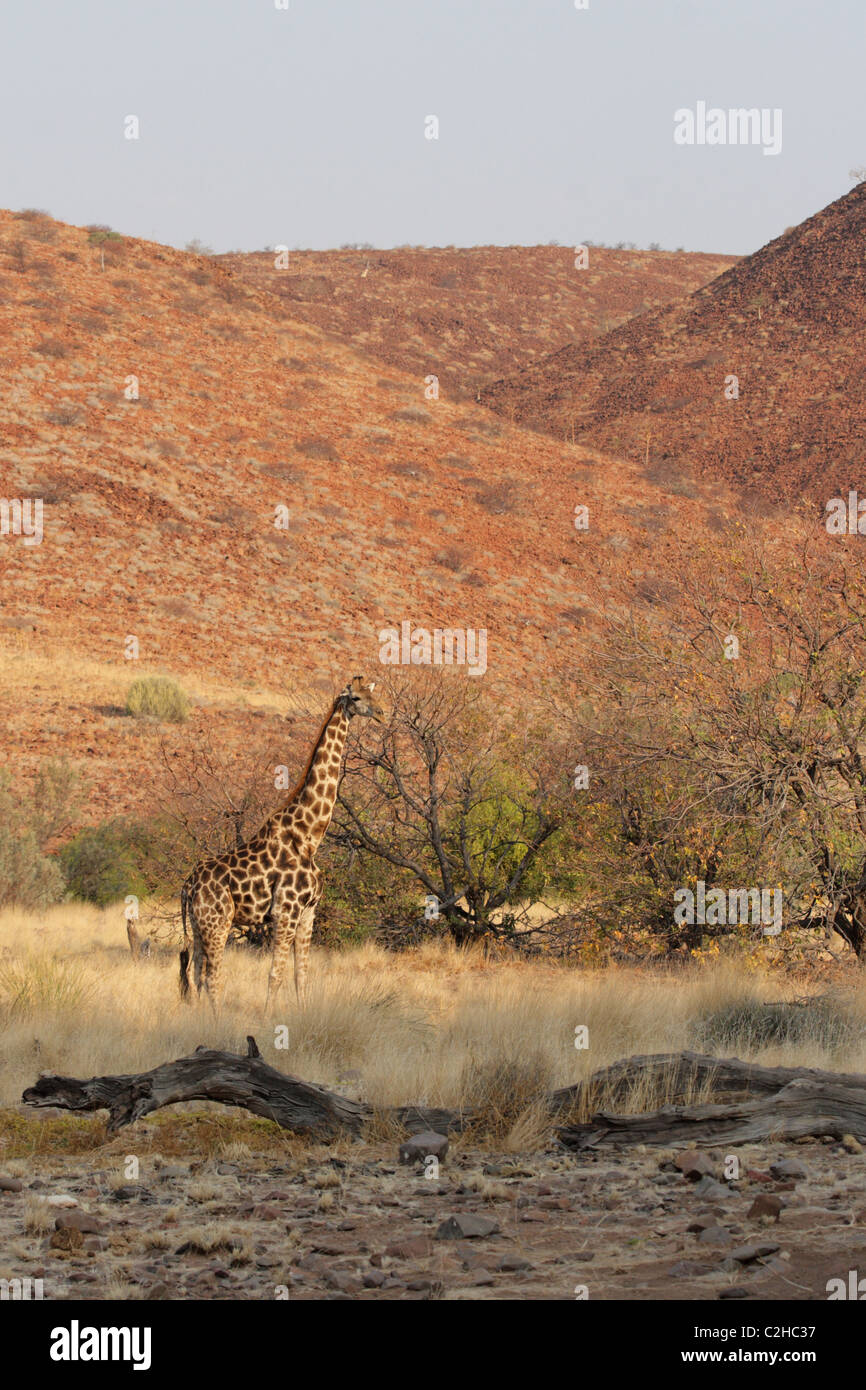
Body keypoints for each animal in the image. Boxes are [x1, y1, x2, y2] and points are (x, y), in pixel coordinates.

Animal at [179, 678, 383, 1006]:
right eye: (356, 697)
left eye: (374, 694)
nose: (381, 712)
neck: (310, 835)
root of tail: (187, 886)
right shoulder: (285, 910)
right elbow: (275, 975)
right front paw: (268, 1015)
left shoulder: (309, 911)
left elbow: (302, 975)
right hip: (218, 923)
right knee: (212, 979)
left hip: (199, 926)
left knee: (195, 975)